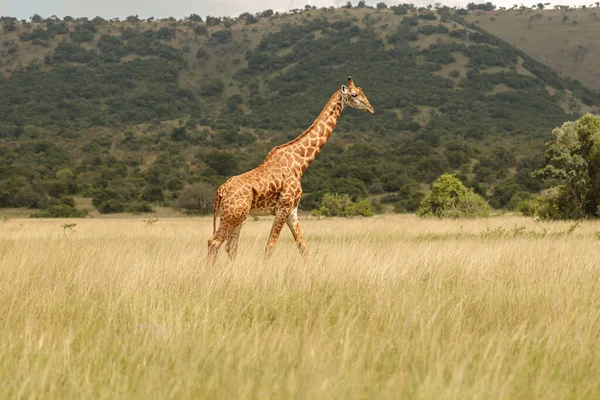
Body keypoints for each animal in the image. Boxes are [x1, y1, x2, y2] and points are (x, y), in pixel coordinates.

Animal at [209, 77, 372, 266]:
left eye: (362, 91)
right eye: (354, 94)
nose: (370, 108)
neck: (300, 163)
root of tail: (221, 191)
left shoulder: (292, 211)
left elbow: (303, 248)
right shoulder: (283, 207)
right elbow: (270, 246)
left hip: (237, 216)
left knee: (230, 247)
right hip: (233, 215)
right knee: (215, 242)